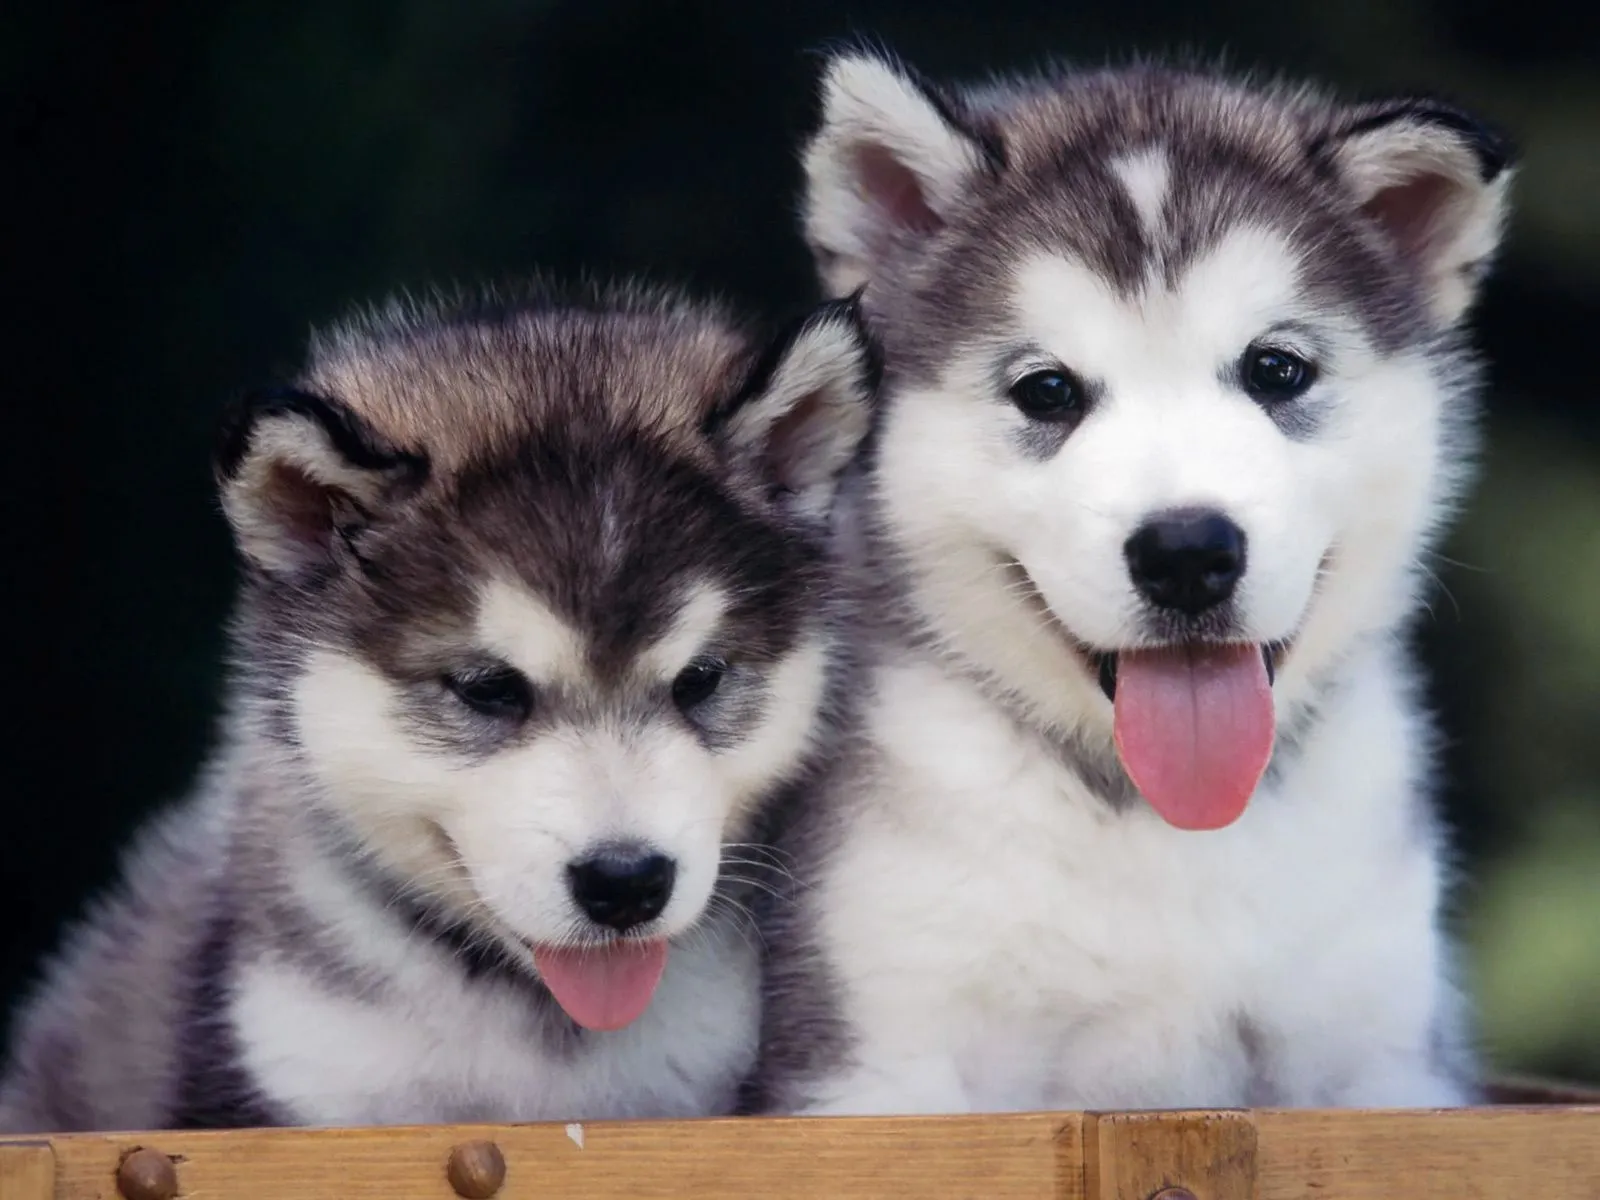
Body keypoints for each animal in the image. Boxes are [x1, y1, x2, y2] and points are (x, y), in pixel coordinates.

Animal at [748, 47, 1510, 1120]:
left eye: (1277, 370)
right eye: (1047, 391)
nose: (1187, 553)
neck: (1165, 821)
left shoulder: (1383, 1056)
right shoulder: (874, 1057)